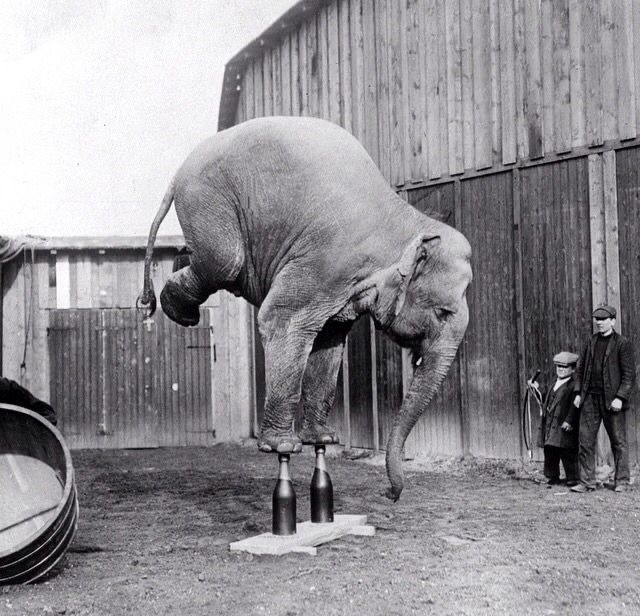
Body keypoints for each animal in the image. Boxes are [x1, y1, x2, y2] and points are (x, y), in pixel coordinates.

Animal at [138, 116, 472, 501]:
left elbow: (329, 341)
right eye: (443, 312)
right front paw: (282, 446)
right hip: (208, 202)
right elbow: (282, 320)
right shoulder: (324, 260)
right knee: (224, 262)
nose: (391, 494)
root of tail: (178, 172)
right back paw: (180, 312)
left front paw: (322, 439)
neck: (405, 221)